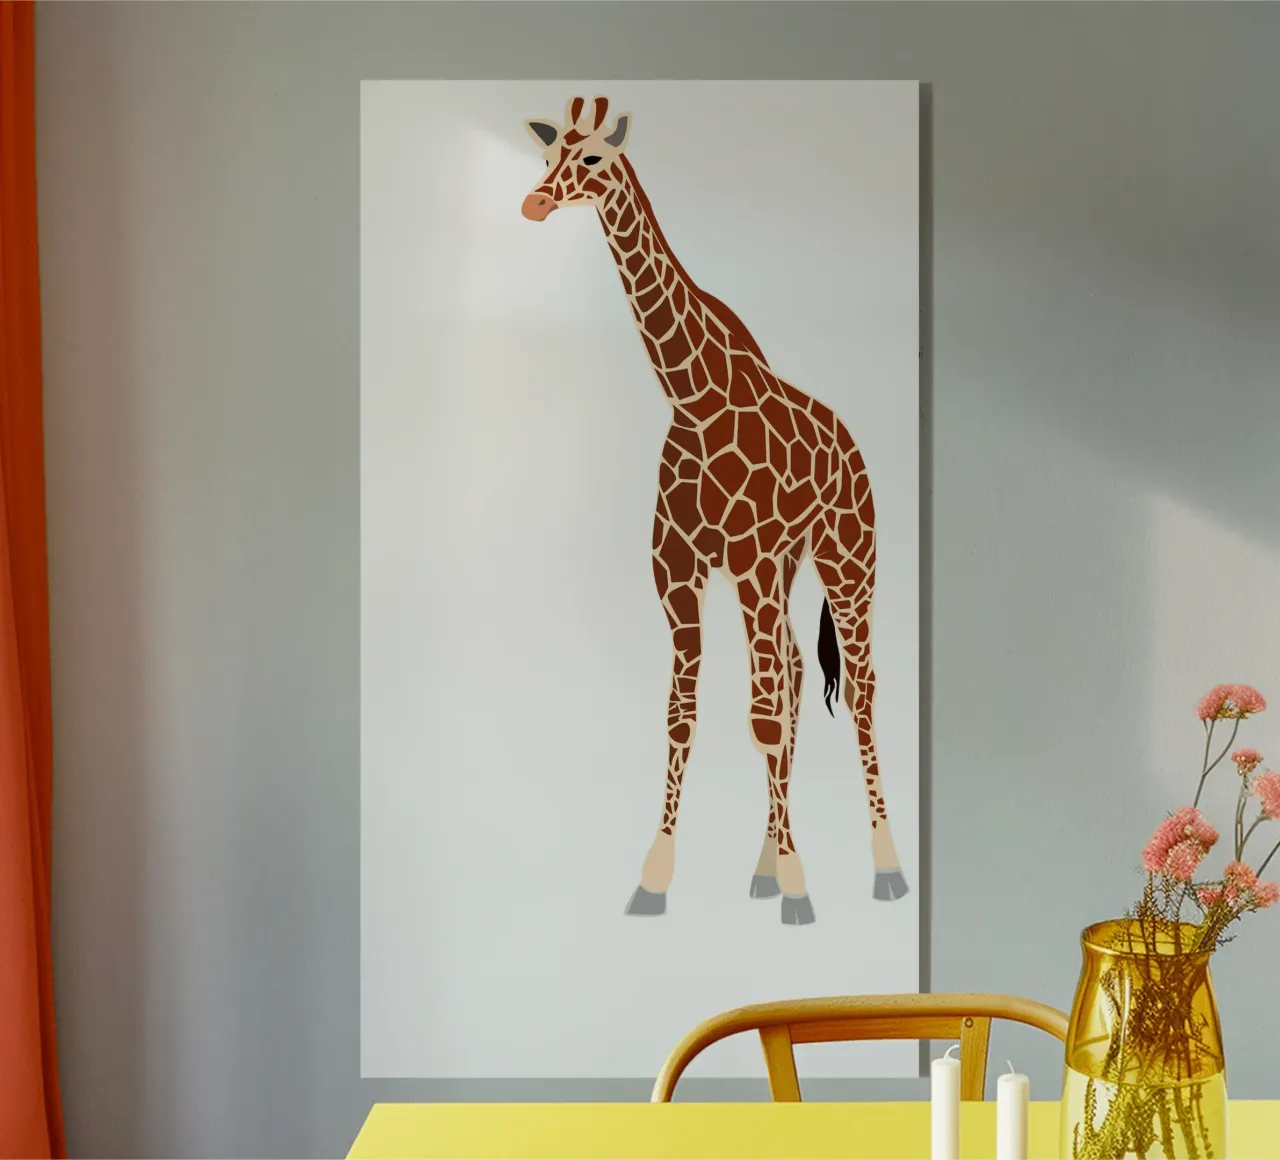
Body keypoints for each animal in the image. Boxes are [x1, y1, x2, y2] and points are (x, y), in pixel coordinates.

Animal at [521, 95, 910, 925]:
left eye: (593, 158)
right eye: (546, 154)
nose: (534, 203)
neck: (693, 399)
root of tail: (854, 446)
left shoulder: (751, 560)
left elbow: (761, 717)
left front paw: (800, 887)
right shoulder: (678, 569)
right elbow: (685, 713)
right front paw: (657, 878)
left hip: (845, 558)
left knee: (856, 688)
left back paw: (883, 866)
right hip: (784, 568)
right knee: (793, 671)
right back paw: (764, 864)